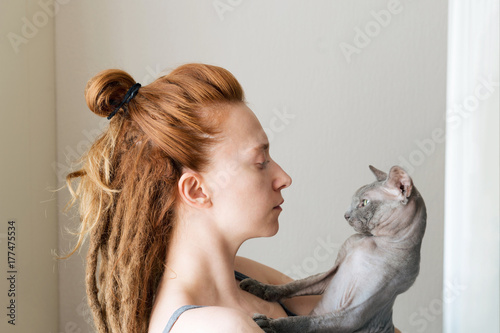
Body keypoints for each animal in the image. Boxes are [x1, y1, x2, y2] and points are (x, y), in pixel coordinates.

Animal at [240, 165, 428, 330]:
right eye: (354, 201)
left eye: (364, 202)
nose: (346, 215)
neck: (374, 241)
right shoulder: (332, 272)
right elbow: (295, 285)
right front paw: (261, 288)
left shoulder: (353, 314)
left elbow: (304, 322)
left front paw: (270, 325)